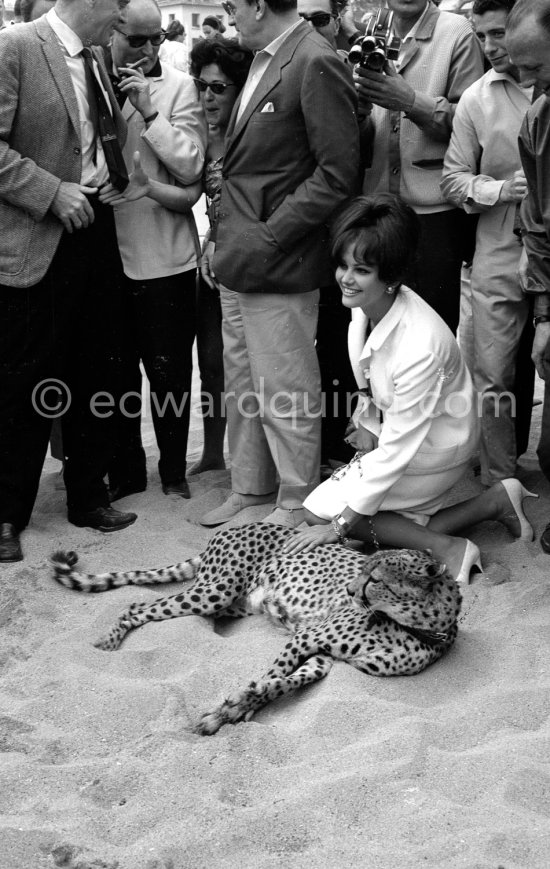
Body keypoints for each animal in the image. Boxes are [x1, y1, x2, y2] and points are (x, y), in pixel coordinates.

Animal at [51, 524, 464, 732]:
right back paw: (108, 641)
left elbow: (284, 682)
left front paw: (238, 708)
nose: (349, 590)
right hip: (213, 591)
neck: (412, 626)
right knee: (138, 605)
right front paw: (232, 709)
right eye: (362, 568)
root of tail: (245, 523)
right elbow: (271, 676)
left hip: (232, 602)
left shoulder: (322, 656)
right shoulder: (306, 637)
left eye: (374, 579)